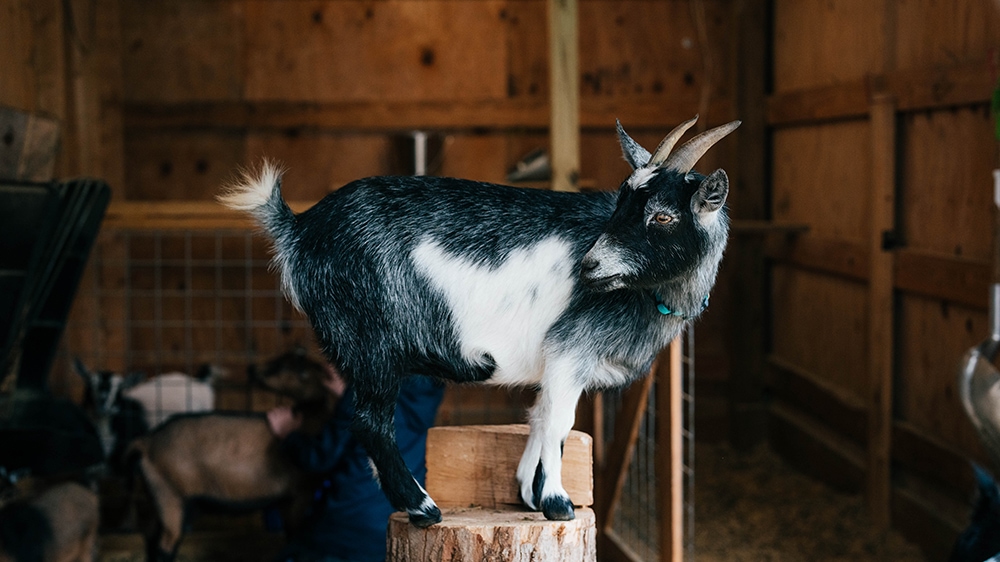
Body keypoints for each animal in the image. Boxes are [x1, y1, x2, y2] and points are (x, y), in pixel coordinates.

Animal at [128, 349, 333, 562]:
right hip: (171, 495)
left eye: (284, 365)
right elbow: (294, 534)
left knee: (151, 538)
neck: (310, 420)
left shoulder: (287, 499)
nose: (252, 369)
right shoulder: (301, 493)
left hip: (156, 495)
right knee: (166, 544)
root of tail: (147, 442)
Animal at [219, 115, 739, 527]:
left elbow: (539, 416)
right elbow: (559, 420)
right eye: (621, 202)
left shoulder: (560, 361)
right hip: (370, 342)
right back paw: (423, 509)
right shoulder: (571, 349)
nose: (588, 266)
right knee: (369, 423)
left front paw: (529, 494)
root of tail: (300, 230)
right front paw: (557, 504)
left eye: (664, 217)